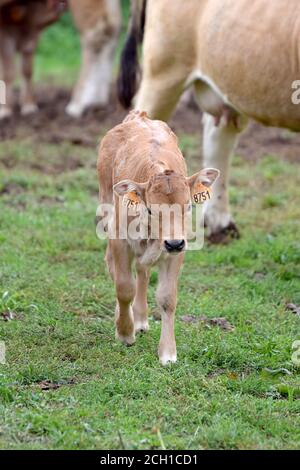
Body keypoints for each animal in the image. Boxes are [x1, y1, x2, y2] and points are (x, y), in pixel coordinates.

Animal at [97, 111, 219, 368]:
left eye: (189, 206)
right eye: (151, 209)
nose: (173, 243)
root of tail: (139, 116)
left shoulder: (177, 251)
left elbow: (167, 298)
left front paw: (168, 353)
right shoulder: (119, 239)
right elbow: (124, 287)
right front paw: (125, 333)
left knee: (142, 271)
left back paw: (141, 319)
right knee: (114, 267)